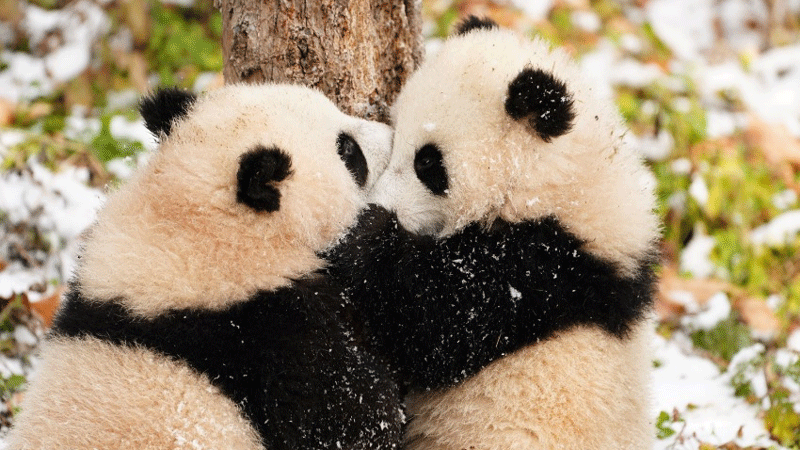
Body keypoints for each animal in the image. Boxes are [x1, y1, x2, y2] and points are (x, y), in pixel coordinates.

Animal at [326, 17, 660, 450]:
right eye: (396, 132)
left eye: (428, 164)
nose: (381, 201)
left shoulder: (541, 271)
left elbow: (436, 323)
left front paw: (366, 231)